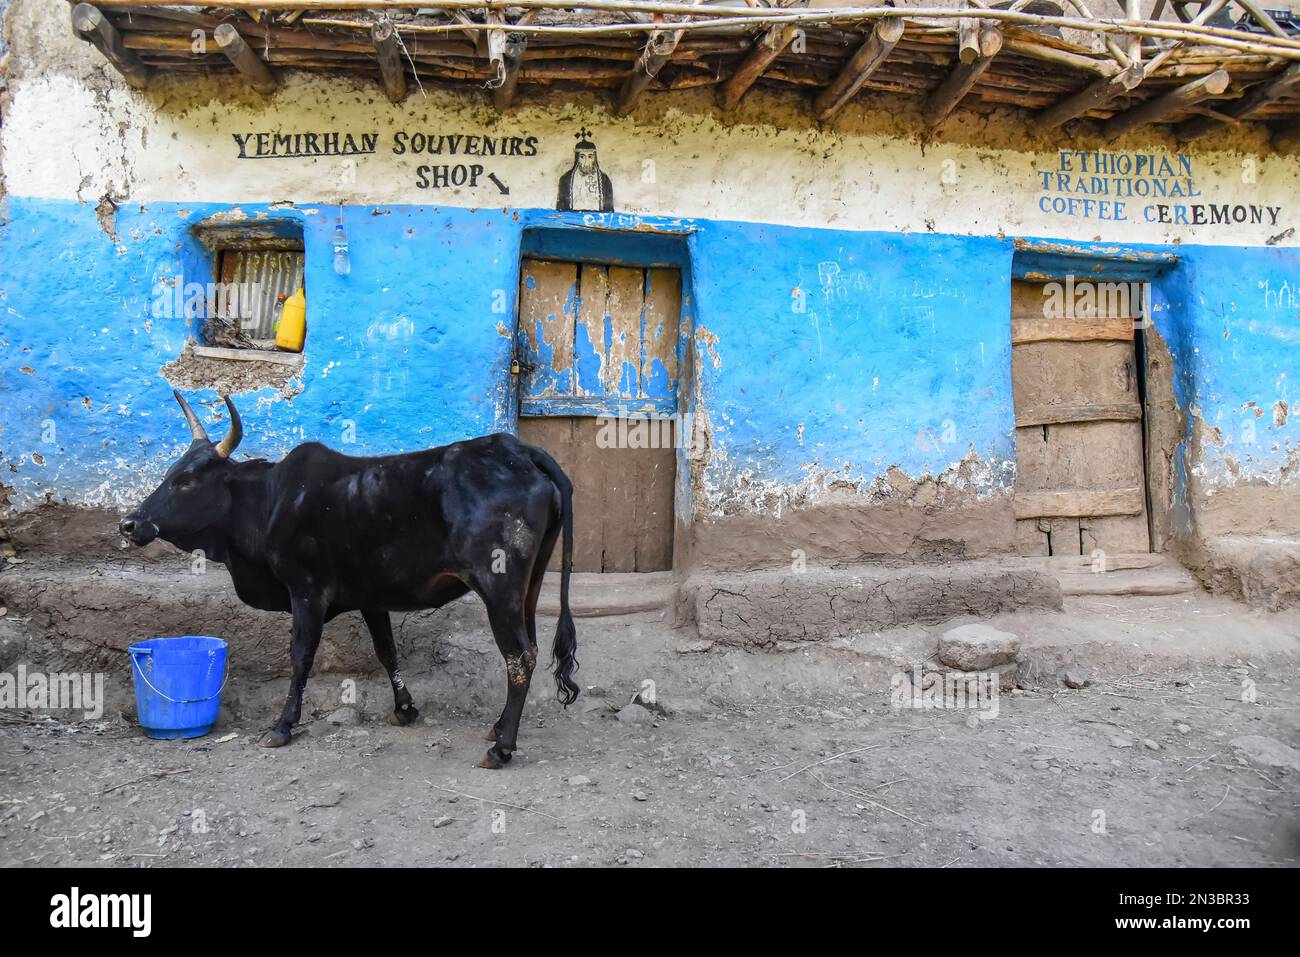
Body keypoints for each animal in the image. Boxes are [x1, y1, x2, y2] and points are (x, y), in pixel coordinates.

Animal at [122, 384, 579, 764]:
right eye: (169, 473)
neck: (269, 501)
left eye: (186, 481)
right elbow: (386, 652)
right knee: (529, 648)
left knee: (520, 656)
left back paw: (502, 748)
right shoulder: (370, 598)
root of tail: (518, 450)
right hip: (529, 585)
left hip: (497, 584)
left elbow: (300, 656)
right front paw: (404, 709)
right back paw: (498, 729)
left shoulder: (306, 592)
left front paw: (282, 726)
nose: (130, 523)